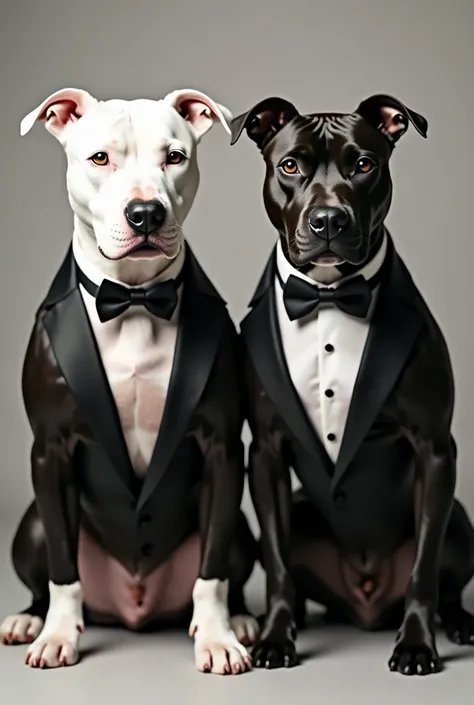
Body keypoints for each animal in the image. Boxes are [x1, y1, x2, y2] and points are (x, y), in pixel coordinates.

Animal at [231, 91, 474, 672]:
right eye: (290, 166)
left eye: (364, 164)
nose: (327, 220)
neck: (329, 295)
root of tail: (365, 604)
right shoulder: (266, 453)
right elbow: (276, 564)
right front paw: (276, 637)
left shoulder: (435, 450)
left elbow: (424, 569)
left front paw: (416, 643)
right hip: (299, 509)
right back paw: (294, 616)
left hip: (459, 519)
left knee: (447, 583)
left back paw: (459, 622)